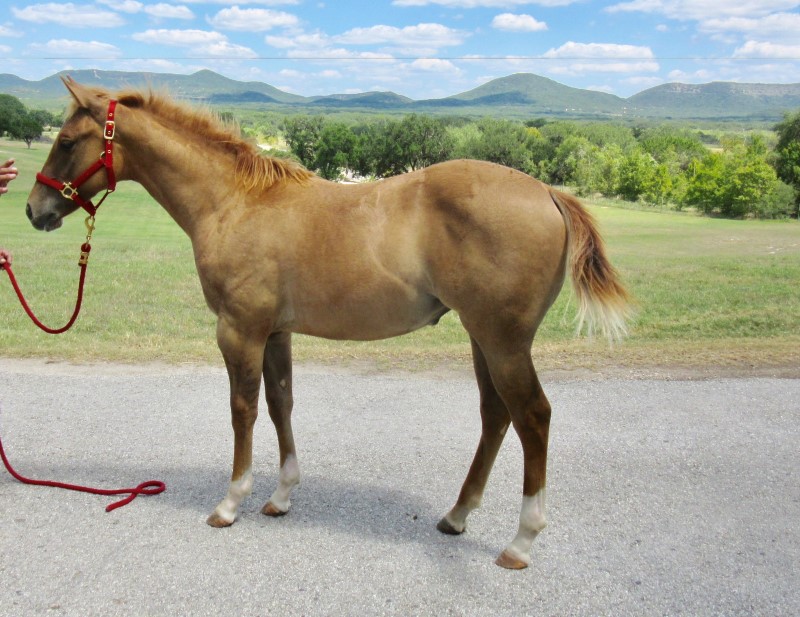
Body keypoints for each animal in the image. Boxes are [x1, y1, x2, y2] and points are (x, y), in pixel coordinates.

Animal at [25, 77, 632, 568]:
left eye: (67, 141)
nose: (34, 210)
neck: (235, 202)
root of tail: (548, 192)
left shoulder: (238, 330)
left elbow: (243, 410)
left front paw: (231, 502)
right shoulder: (274, 331)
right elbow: (280, 403)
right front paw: (281, 496)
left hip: (503, 341)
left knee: (532, 417)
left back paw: (521, 541)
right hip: (483, 338)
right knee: (495, 415)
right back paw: (457, 516)